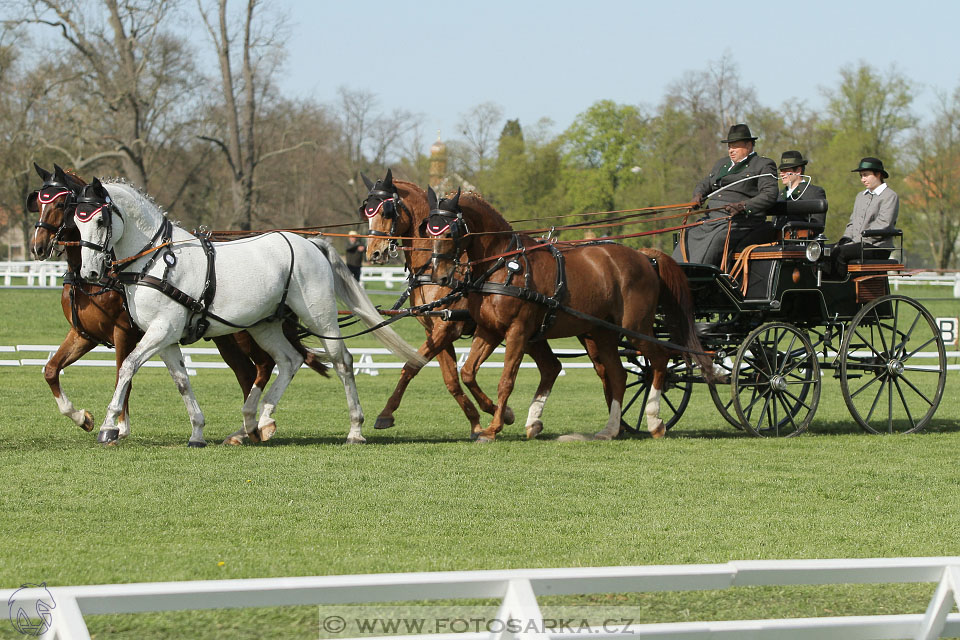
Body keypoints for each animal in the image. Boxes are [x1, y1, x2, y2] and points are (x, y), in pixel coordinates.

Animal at [28, 162, 328, 442]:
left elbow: (123, 374)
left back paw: (254, 427)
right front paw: (82, 417)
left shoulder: (130, 333)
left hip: (243, 332)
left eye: (61, 203)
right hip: (229, 337)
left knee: (261, 367)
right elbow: (51, 369)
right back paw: (247, 429)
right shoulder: (85, 334)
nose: (38, 247)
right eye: (39, 203)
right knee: (250, 371)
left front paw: (116, 427)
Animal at [71, 178, 424, 448]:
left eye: (100, 220)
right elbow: (182, 381)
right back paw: (259, 419)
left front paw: (108, 426)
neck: (158, 259)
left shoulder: (162, 330)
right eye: (77, 222)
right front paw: (197, 431)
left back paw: (355, 428)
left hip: (320, 317)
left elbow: (127, 367)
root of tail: (311, 243)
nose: (90, 273)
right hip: (264, 325)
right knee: (288, 360)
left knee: (342, 362)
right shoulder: (166, 337)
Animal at [358, 170, 510, 438]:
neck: (430, 265)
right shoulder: (434, 330)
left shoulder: (447, 328)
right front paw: (476, 420)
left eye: (387, 212)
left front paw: (386, 414)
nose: (373, 253)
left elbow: (411, 366)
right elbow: (450, 379)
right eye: (367, 211)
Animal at [428, 188, 712, 442]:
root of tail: (643, 256)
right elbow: (468, 372)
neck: (504, 266)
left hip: (636, 327)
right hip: (603, 333)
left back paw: (654, 421)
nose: (440, 276)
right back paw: (610, 429)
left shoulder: (517, 331)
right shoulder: (490, 330)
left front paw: (495, 427)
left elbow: (506, 380)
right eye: (428, 230)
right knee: (618, 375)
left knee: (659, 359)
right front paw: (503, 414)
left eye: (450, 231)